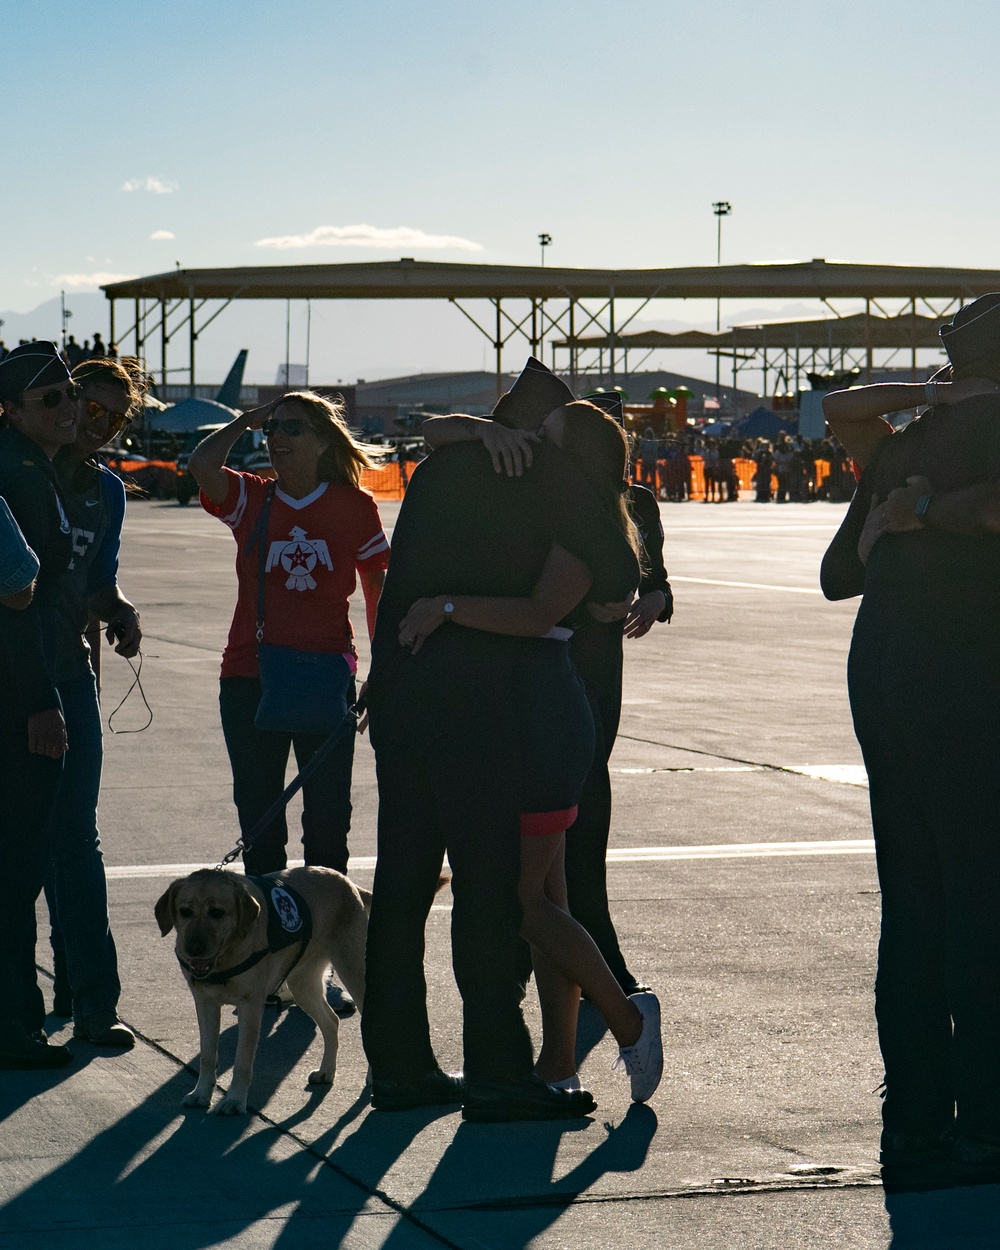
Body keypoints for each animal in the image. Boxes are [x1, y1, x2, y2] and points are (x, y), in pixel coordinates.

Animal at [158, 870, 370, 1115]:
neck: (225, 958)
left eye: (217, 913)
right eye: (184, 911)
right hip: (302, 985)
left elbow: (242, 1060)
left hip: (354, 973)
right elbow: (207, 1055)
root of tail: (349, 884)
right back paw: (326, 1071)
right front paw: (201, 1093)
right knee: (331, 1021)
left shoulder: (250, 1006)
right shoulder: (205, 1003)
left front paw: (234, 1100)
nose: (193, 948)